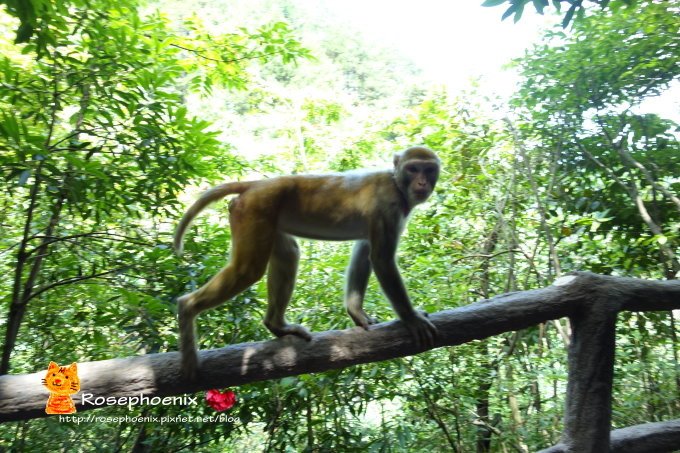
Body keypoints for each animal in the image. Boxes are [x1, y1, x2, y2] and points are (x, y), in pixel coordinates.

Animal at [175, 146, 440, 378]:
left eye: (428, 170)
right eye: (413, 169)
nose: (422, 183)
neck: (396, 183)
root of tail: (258, 184)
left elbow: (364, 250)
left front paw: (356, 311)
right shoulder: (388, 205)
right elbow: (381, 259)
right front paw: (411, 318)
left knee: (289, 254)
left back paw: (276, 325)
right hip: (254, 209)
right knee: (247, 270)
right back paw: (187, 309)